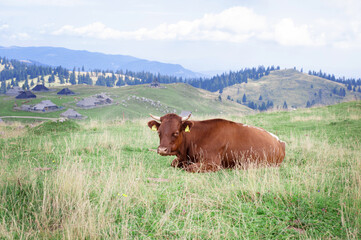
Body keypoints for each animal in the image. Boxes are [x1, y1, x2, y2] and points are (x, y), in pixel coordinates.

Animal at [146, 113, 284, 172]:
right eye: (159, 132)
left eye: (175, 132)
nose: (162, 149)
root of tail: (279, 141)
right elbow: (173, 163)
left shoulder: (213, 163)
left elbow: (189, 167)